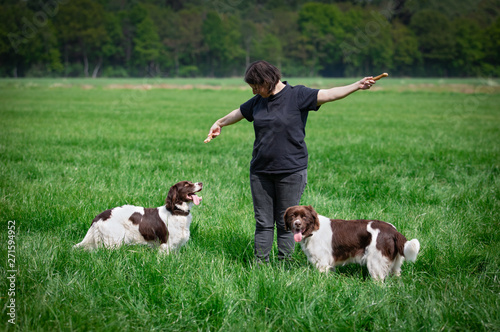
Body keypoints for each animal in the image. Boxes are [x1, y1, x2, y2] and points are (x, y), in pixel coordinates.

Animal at [73, 180, 202, 253]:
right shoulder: (166, 245)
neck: (176, 211)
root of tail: (99, 216)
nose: (201, 183)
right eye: (186, 184)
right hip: (113, 241)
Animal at [284, 205, 420, 280]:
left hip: (376, 262)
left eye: (304, 217)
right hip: (395, 264)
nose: (297, 224)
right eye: (292, 216)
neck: (314, 231)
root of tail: (394, 231)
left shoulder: (322, 262)